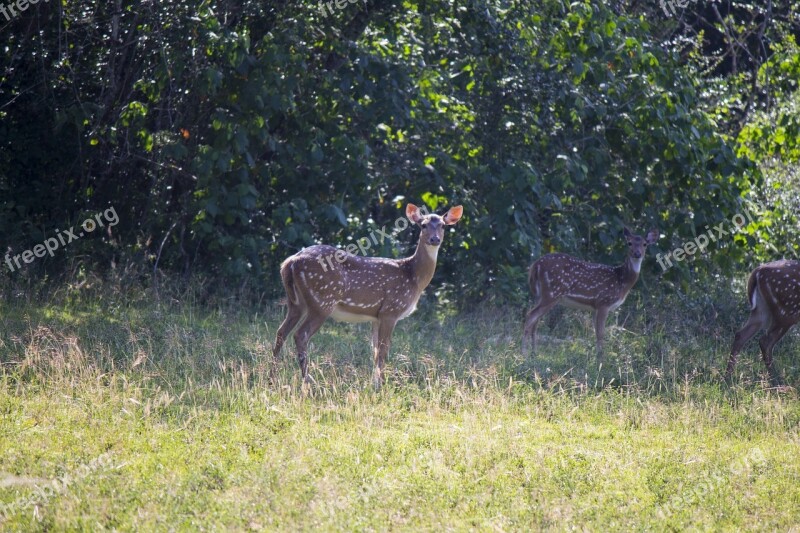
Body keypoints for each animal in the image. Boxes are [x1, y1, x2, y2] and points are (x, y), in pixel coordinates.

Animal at [274, 203, 462, 386]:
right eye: (423, 225)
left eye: (443, 225)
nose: (435, 239)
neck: (413, 277)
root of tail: (290, 262)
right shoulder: (391, 310)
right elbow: (384, 349)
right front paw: (382, 385)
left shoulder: (376, 317)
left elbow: (375, 350)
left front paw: (374, 383)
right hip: (322, 301)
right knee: (300, 335)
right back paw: (308, 380)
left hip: (296, 303)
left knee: (281, 331)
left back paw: (272, 373)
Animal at [520, 228, 660, 358]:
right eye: (629, 243)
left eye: (645, 244)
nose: (637, 254)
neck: (621, 281)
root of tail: (535, 265)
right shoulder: (604, 302)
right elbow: (601, 333)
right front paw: (600, 360)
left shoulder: (595, 307)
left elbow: (595, 332)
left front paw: (595, 357)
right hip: (552, 293)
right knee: (530, 315)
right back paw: (524, 354)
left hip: (540, 295)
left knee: (536, 321)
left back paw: (534, 353)